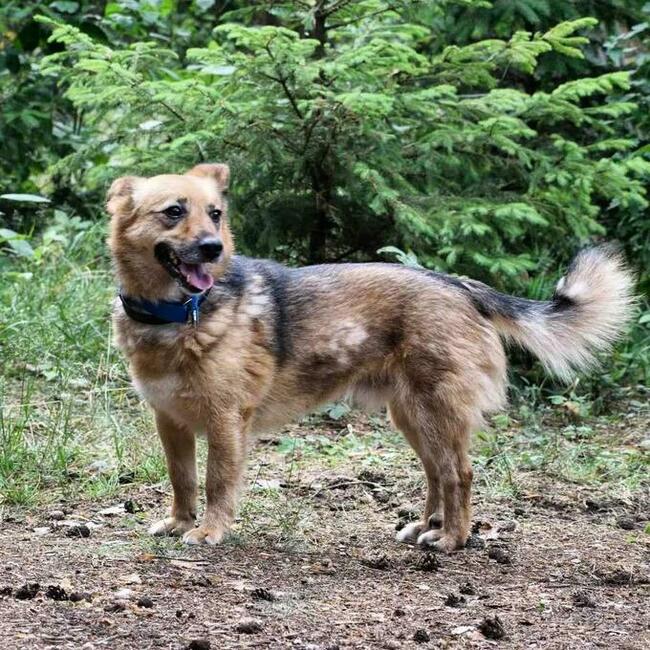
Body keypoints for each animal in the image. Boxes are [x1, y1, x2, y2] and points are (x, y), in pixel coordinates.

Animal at [106, 163, 632, 552]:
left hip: (436, 411)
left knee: (459, 474)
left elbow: (216, 482)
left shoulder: (225, 420)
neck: (180, 315)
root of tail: (459, 284)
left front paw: (210, 530)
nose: (214, 249)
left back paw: (453, 538)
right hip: (412, 416)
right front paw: (180, 523)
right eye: (174, 212)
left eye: (215, 214)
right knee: (438, 474)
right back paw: (428, 526)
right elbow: (182, 480)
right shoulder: (170, 422)